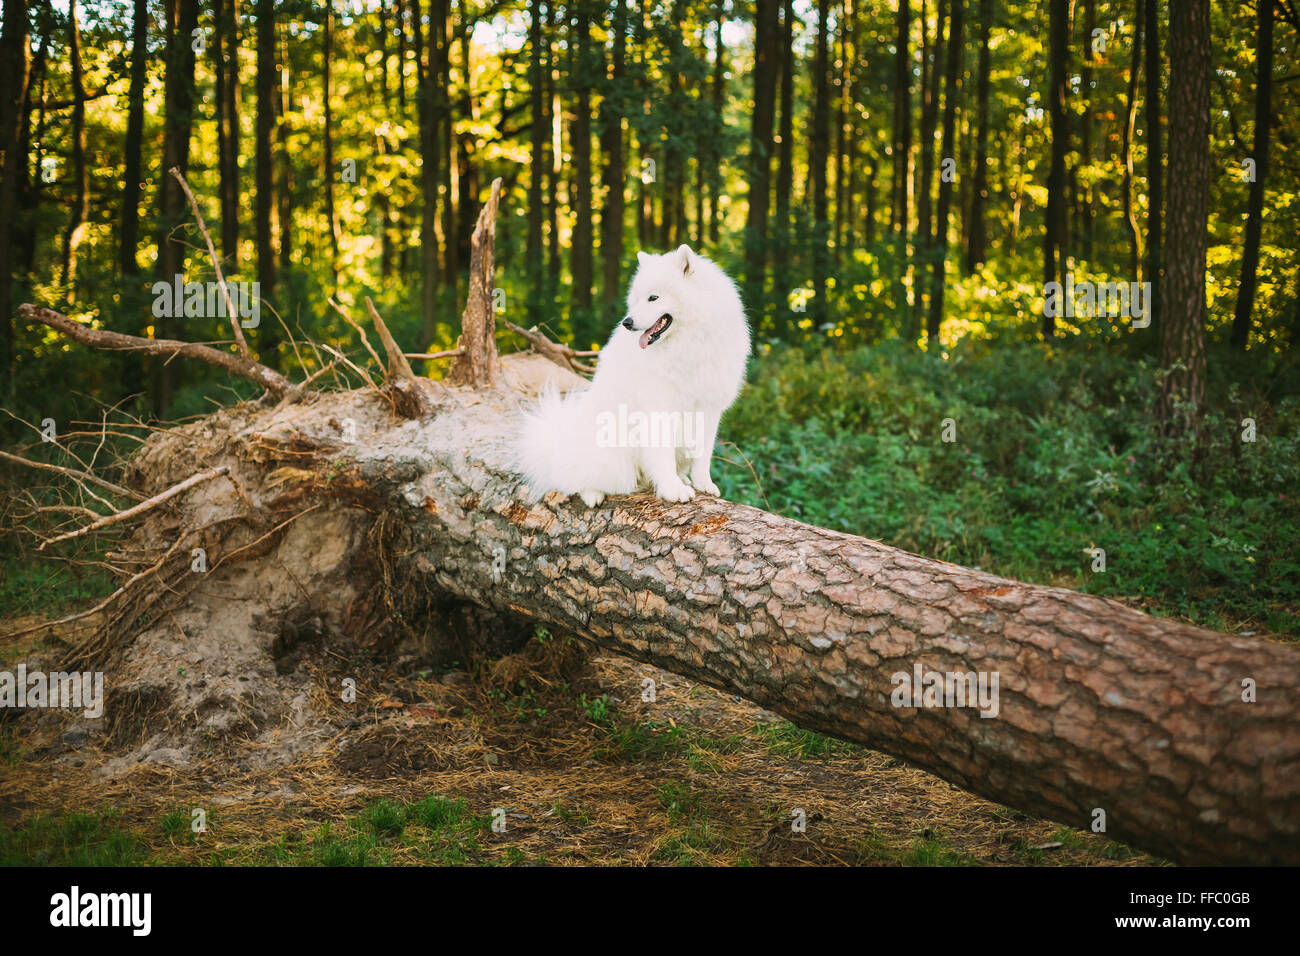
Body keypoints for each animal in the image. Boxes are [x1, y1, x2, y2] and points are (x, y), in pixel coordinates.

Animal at [509, 247, 748, 509]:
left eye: (653, 298)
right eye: (635, 300)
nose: (627, 322)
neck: (688, 344)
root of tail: (555, 447)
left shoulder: (708, 409)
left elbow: (703, 455)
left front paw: (703, 484)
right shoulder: (660, 410)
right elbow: (662, 455)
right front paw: (673, 490)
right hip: (610, 455)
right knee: (576, 479)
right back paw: (593, 494)